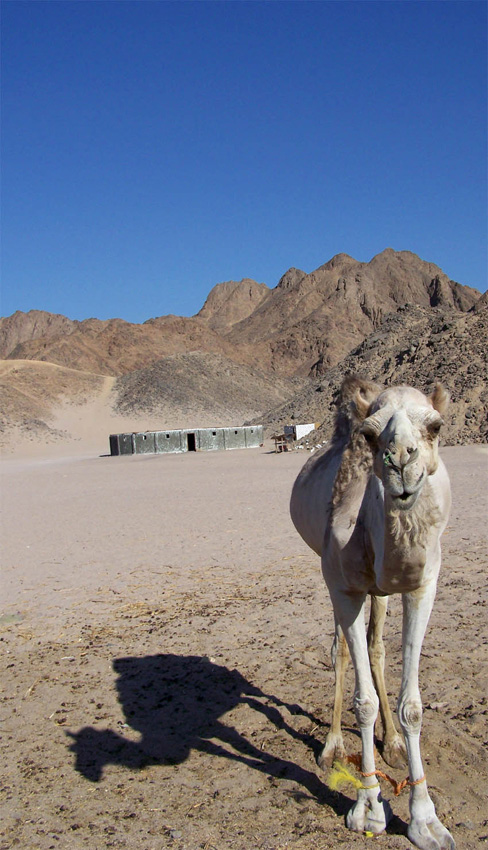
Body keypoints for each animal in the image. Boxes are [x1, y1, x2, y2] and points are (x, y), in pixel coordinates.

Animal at [290, 374, 454, 844]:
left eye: (435, 426)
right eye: (369, 433)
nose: (400, 459)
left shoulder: (422, 587)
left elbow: (412, 705)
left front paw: (425, 820)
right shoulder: (344, 587)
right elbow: (361, 700)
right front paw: (368, 807)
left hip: (379, 592)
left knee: (377, 646)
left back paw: (394, 742)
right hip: (333, 574)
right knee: (342, 651)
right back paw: (331, 747)